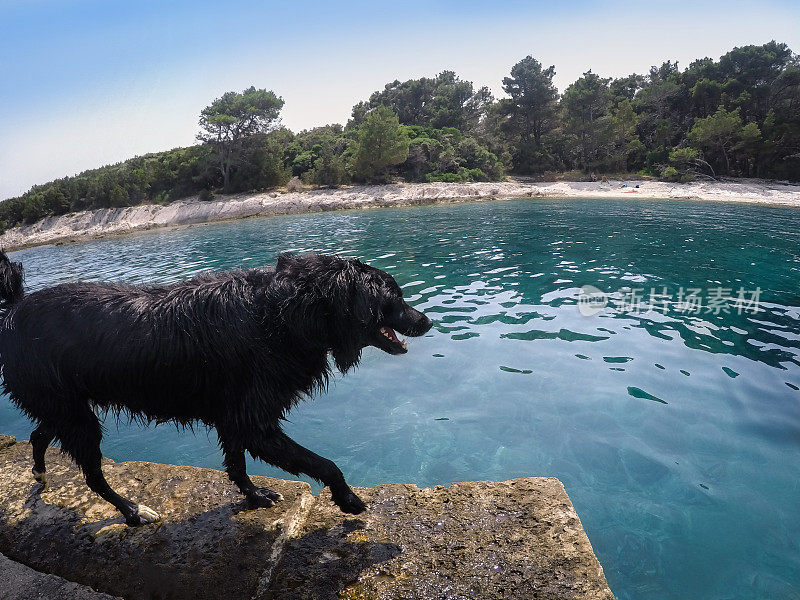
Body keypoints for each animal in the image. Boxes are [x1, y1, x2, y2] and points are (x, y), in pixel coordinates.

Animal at [0, 251, 432, 524]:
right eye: (394, 296)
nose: (426, 321)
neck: (286, 313)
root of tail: (14, 309)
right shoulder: (255, 422)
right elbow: (323, 464)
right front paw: (349, 500)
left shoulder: (233, 415)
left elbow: (237, 463)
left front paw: (255, 497)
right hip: (72, 412)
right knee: (92, 475)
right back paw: (133, 512)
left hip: (64, 407)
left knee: (39, 434)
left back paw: (39, 474)